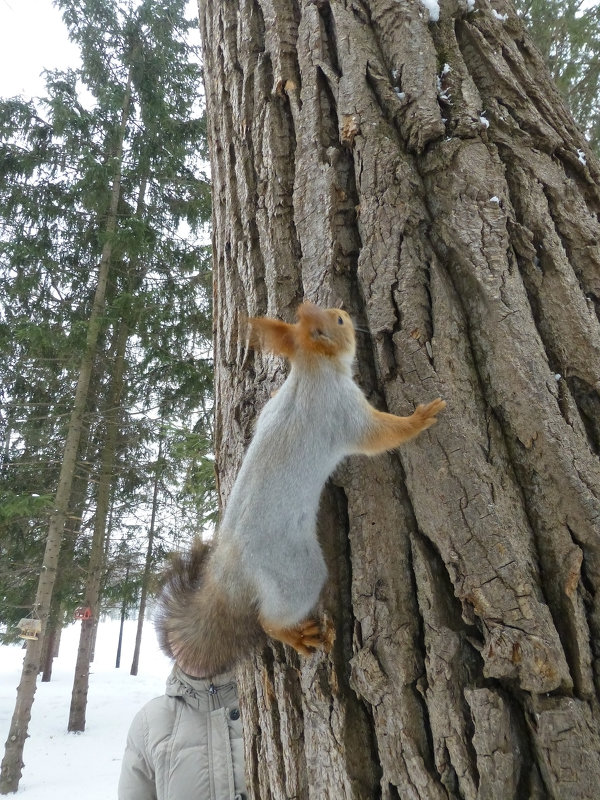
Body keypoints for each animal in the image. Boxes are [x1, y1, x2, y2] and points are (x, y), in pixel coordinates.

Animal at [156, 300, 446, 676]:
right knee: (269, 620)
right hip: (299, 574)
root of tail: (230, 568)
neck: (309, 372)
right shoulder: (342, 410)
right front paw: (420, 418)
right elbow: (379, 435)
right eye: (338, 321)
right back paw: (295, 635)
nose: (345, 311)